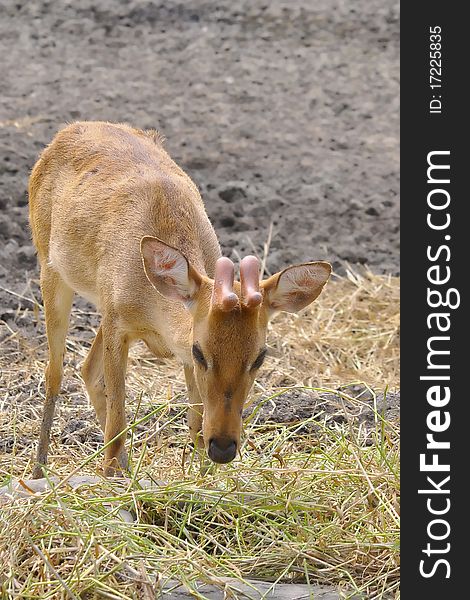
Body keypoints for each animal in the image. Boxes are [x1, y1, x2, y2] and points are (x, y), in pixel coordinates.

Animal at [28, 122, 330, 478]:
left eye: (260, 357)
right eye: (201, 352)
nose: (224, 448)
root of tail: (68, 130)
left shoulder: (140, 327)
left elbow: (195, 421)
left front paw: (203, 477)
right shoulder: (121, 326)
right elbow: (118, 412)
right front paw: (112, 473)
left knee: (88, 369)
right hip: (50, 267)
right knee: (55, 372)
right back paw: (39, 470)